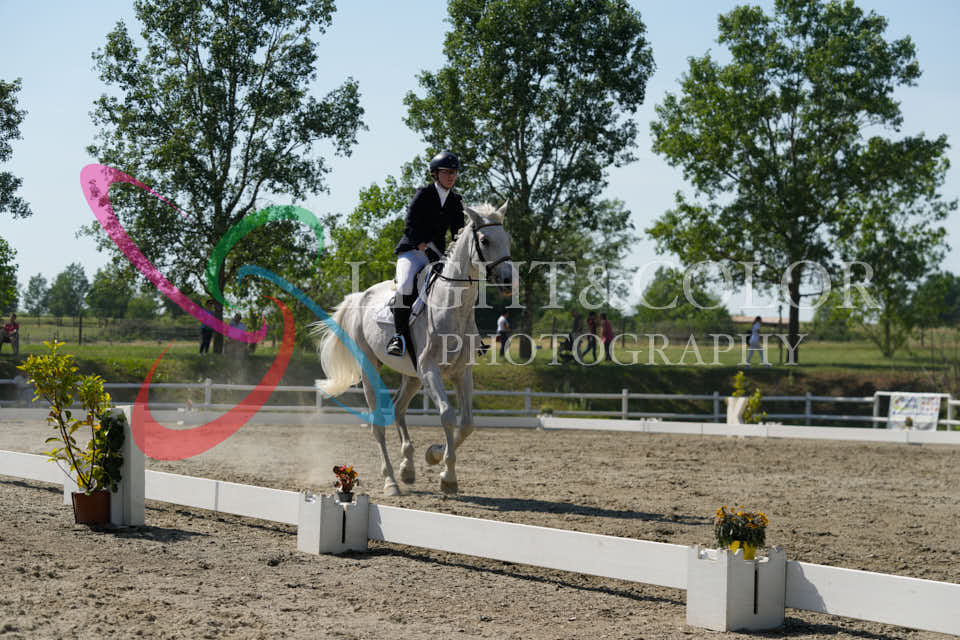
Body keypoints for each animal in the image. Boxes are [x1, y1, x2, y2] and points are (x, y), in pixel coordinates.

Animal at [311, 202, 513, 496]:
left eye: (507, 239)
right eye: (485, 240)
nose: (508, 281)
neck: (454, 307)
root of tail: (359, 296)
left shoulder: (461, 372)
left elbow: (467, 424)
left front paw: (435, 456)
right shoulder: (430, 370)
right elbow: (447, 416)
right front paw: (447, 477)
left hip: (413, 376)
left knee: (398, 409)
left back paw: (407, 468)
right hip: (371, 369)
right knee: (377, 423)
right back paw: (391, 482)